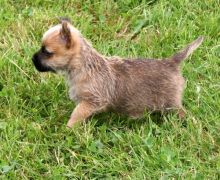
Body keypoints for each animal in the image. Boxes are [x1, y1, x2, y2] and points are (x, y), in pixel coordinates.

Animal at [31, 19, 204, 127]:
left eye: (47, 52)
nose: (32, 59)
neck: (83, 66)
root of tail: (171, 62)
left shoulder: (92, 101)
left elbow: (76, 114)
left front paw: (69, 128)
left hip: (171, 103)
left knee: (182, 113)